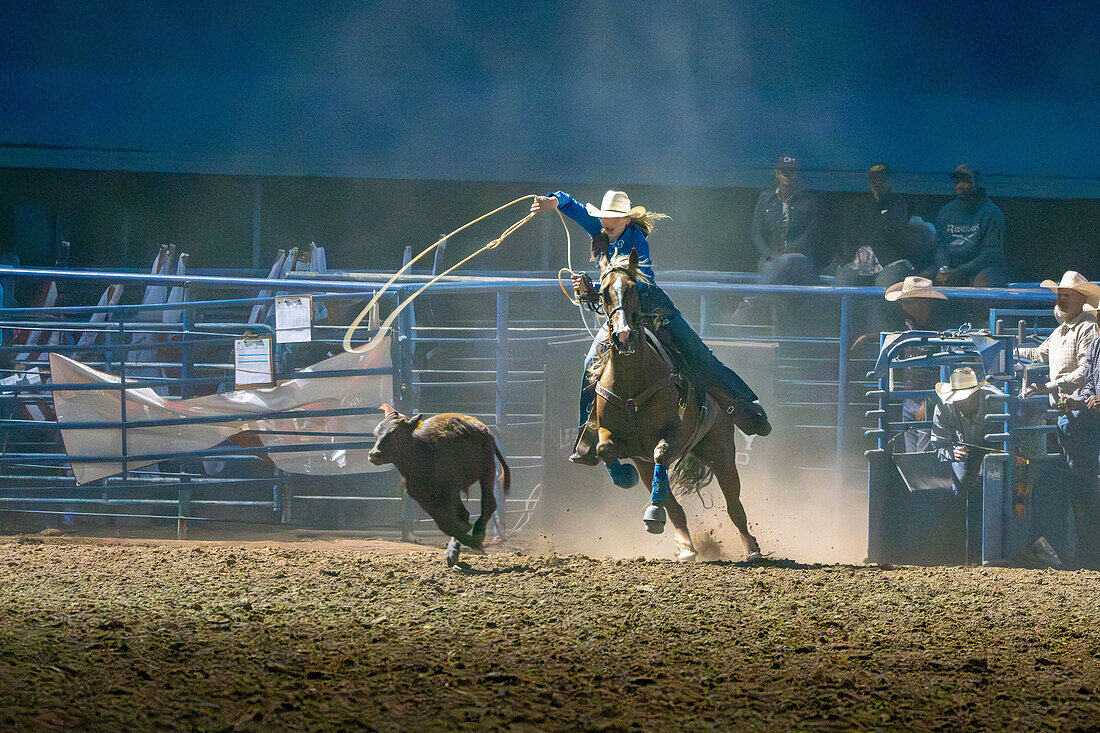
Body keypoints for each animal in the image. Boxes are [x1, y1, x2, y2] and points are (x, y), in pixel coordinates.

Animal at [589, 250, 761, 559]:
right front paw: (624, 477)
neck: (633, 381)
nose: (623, 335)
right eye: (605, 292)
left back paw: (750, 548)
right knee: (675, 507)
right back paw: (685, 545)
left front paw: (653, 511)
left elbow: (661, 452)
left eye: (633, 289)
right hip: (649, 465)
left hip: (722, 453)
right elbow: (604, 448)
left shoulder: (674, 433)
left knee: (735, 507)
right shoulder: (620, 440)